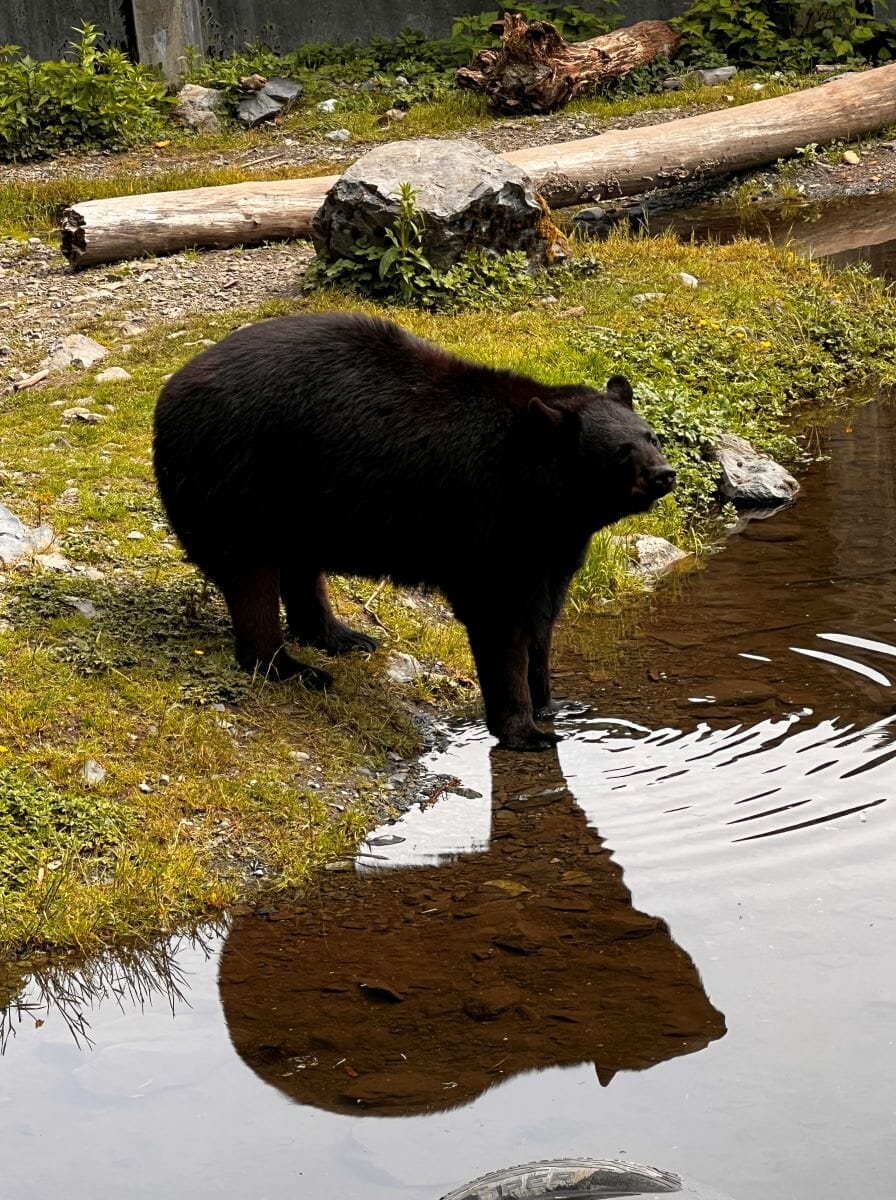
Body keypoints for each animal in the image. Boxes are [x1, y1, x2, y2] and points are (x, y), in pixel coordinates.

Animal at [153, 312, 674, 752]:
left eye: (651, 437)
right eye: (621, 452)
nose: (664, 474)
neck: (545, 494)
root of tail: (168, 393)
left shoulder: (552, 543)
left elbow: (542, 619)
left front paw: (552, 702)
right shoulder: (488, 520)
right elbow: (499, 618)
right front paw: (525, 729)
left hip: (301, 501)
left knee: (299, 565)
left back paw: (340, 635)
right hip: (238, 479)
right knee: (252, 575)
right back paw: (291, 668)